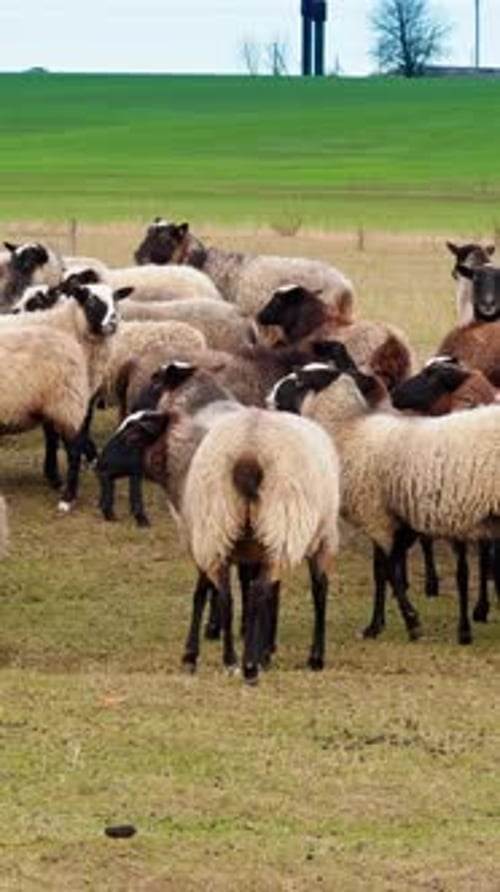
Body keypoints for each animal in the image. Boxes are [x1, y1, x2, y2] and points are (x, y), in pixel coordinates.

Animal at [0, 281, 129, 510]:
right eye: (91, 300)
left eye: (116, 299)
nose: (113, 321)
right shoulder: (61, 400)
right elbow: (56, 439)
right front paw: (55, 477)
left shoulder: (55, 400)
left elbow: (53, 439)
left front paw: (54, 478)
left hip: (65, 399)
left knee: (73, 449)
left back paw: (67, 497)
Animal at [99, 392, 340, 683]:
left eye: (133, 436)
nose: (98, 464)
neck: (183, 465)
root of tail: (249, 454)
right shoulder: (230, 545)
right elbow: (233, 591)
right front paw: (257, 647)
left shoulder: (202, 541)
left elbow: (202, 593)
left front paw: (194, 653)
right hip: (259, 528)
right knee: (256, 592)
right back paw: (246, 662)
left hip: (266, 529)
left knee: (302, 590)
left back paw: (263, 661)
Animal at [270, 361, 500, 646]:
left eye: (299, 380)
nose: (270, 397)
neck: (348, 431)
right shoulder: (395, 519)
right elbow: (381, 571)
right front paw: (376, 625)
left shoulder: (377, 516)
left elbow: (390, 570)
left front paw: (412, 622)